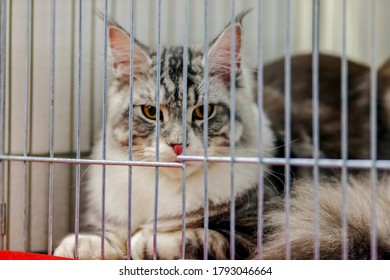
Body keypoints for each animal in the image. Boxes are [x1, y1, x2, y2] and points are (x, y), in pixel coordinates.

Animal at [53, 10, 276, 260]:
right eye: (151, 111)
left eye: (203, 111)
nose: (177, 145)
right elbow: (107, 235)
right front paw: (80, 245)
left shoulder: (257, 229)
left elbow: (200, 237)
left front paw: (142, 240)